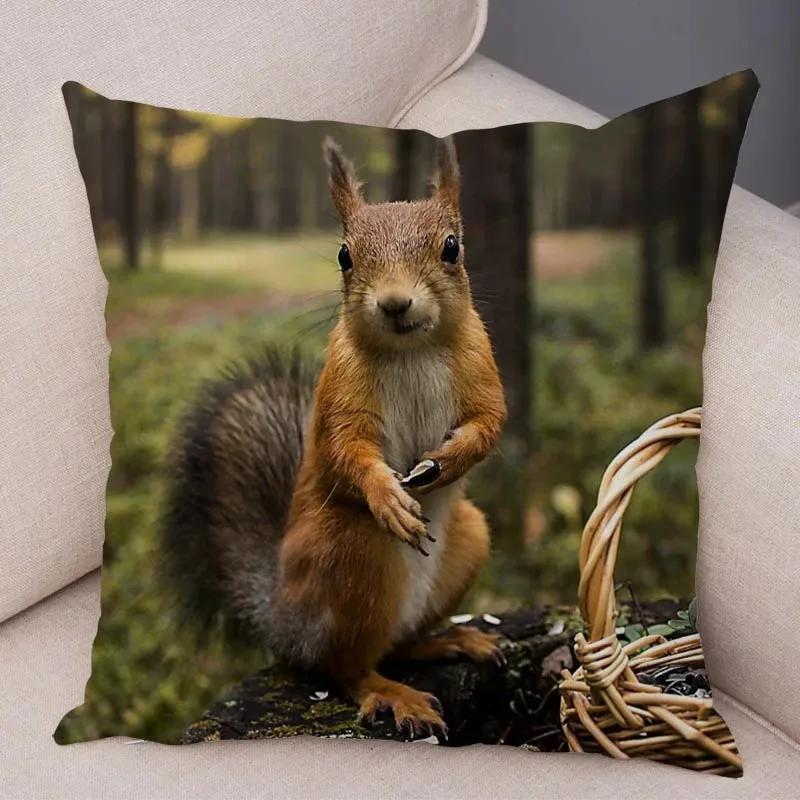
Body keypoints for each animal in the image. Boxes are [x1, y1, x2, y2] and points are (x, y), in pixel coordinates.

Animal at [162, 135, 507, 738]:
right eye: (345, 255)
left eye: (452, 247)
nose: (395, 302)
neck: (411, 349)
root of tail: (282, 619)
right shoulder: (340, 391)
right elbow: (346, 449)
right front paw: (387, 496)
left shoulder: (481, 366)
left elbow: (489, 422)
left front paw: (450, 459)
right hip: (350, 554)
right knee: (346, 667)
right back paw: (391, 692)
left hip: (469, 539)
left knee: (399, 644)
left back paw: (449, 640)